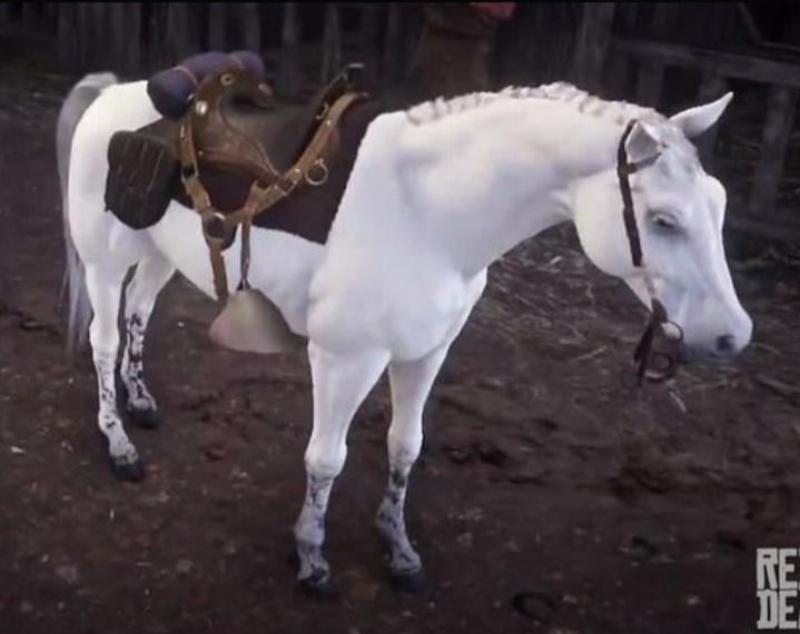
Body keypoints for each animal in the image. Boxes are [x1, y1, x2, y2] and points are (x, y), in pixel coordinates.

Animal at [57, 74, 752, 594]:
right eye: (663, 221)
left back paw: (141, 401)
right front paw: (312, 558)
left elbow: (405, 446)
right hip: (105, 260)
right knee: (104, 340)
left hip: (162, 253)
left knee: (140, 311)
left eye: (720, 204)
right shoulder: (347, 359)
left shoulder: (427, 352)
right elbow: (326, 459)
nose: (733, 337)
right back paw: (119, 443)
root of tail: (112, 94)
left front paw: (397, 548)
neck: (430, 214)